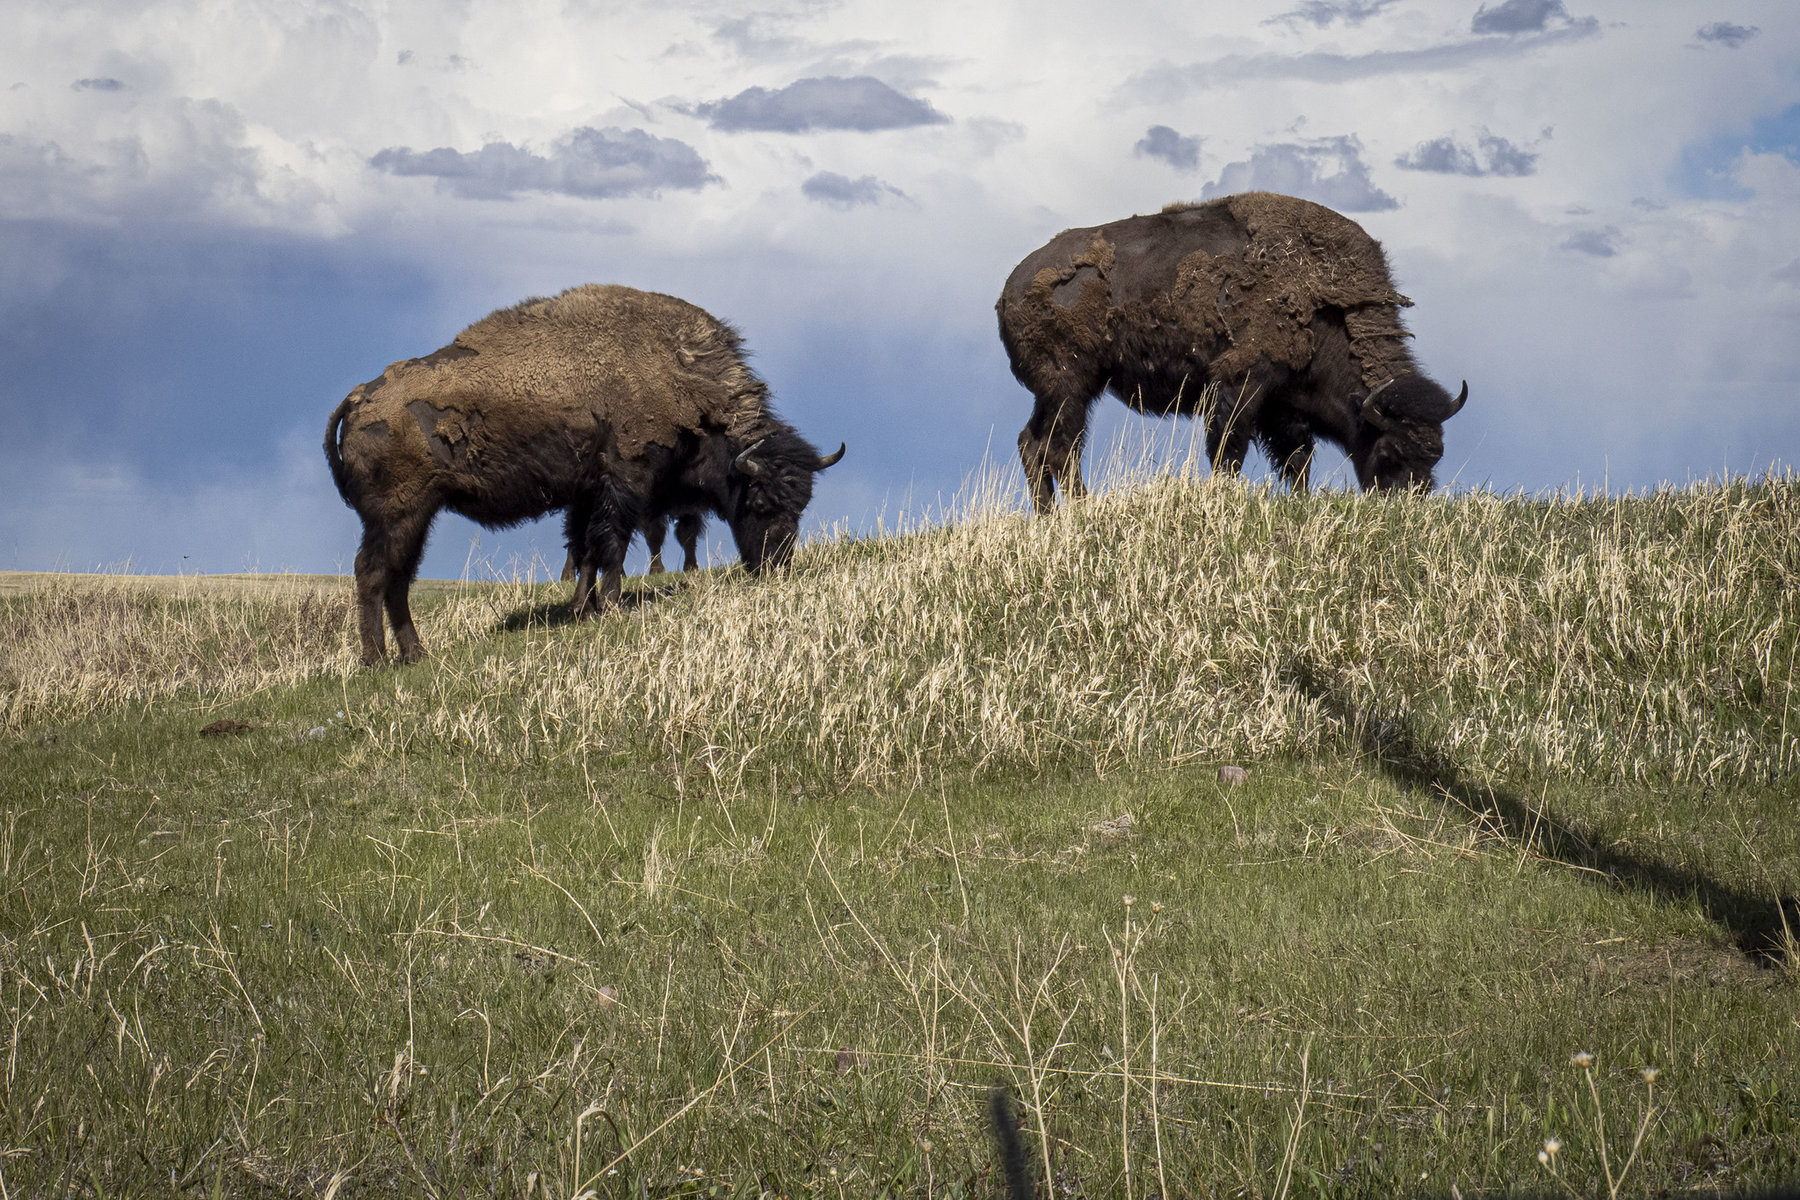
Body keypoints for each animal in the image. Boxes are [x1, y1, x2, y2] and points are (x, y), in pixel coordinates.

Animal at [324, 287, 842, 672]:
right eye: (759, 502)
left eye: (801, 506)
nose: (776, 564)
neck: (681, 374)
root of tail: (359, 397)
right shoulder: (626, 482)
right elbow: (612, 543)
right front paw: (610, 605)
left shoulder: (587, 492)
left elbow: (586, 547)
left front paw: (582, 608)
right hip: (397, 514)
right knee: (373, 574)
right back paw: (376, 661)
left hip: (417, 517)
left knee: (398, 578)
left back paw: (416, 654)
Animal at [993, 189, 1468, 510]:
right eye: (1389, 453)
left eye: (1436, 456)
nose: (1409, 505)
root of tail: (1010, 288)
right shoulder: (1242, 384)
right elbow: (1229, 451)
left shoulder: (1284, 407)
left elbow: (1297, 462)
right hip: (1070, 387)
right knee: (1059, 449)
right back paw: (1082, 511)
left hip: (1059, 393)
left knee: (1034, 444)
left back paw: (1049, 518)